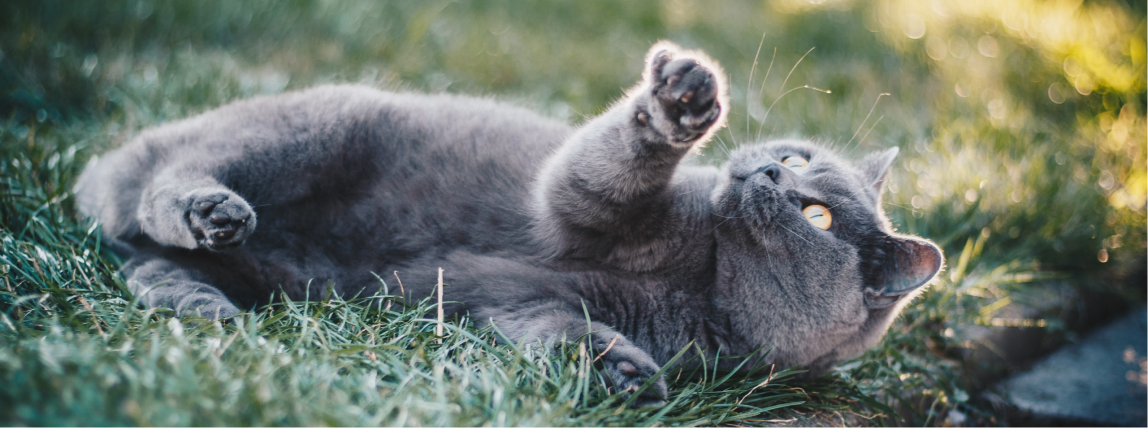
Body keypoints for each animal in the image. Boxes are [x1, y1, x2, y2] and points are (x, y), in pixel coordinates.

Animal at [78, 41, 941, 401]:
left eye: (819, 215)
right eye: (795, 157)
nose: (763, 169)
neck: (705, 280)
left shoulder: (529, 305)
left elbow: (557, 331)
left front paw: (624, 375)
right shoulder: (576, 208)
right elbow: (596, 170)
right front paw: (680, 101)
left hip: (281, 274)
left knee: (143, 261)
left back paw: (203, 305)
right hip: (310, 131)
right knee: (161, 184)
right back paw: (209, 209)